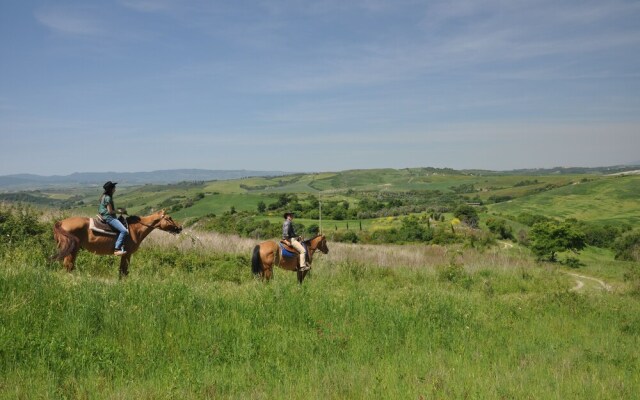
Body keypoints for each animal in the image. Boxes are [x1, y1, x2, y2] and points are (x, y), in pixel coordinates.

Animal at [51, 209, 182, 278]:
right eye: (169, 218)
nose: (180, 227)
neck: (135, 229)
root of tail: (61, 223)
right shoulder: (127, 254)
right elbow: (124, 270)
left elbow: (122, 270)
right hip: (72, 249)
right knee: (68, 265)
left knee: (69, 265)